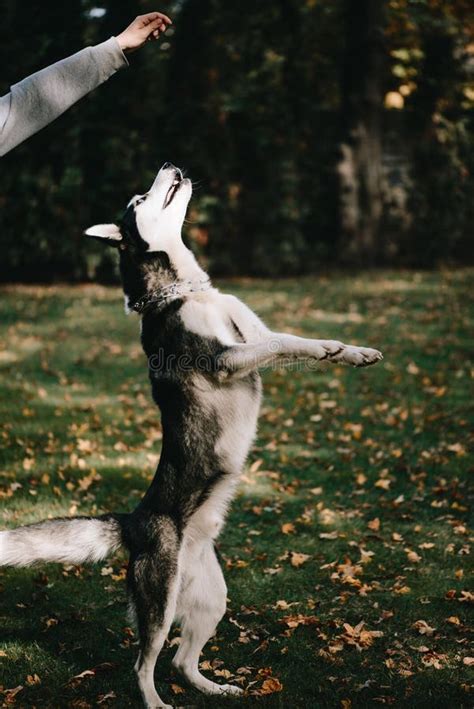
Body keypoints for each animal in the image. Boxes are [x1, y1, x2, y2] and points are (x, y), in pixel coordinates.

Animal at [0, 165, 384, 704]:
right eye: (141, 198)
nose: (171, 168)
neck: (185, 291)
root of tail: (135, 520)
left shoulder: (253, 333)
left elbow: (290, 340)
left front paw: (349, 350)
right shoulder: (226, 358)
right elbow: (280, 346)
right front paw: (329, 350)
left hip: (212, 598)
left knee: (182, 661)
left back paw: (215, 688)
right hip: (159, 601)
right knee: (143, 664)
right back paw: (157, 703)